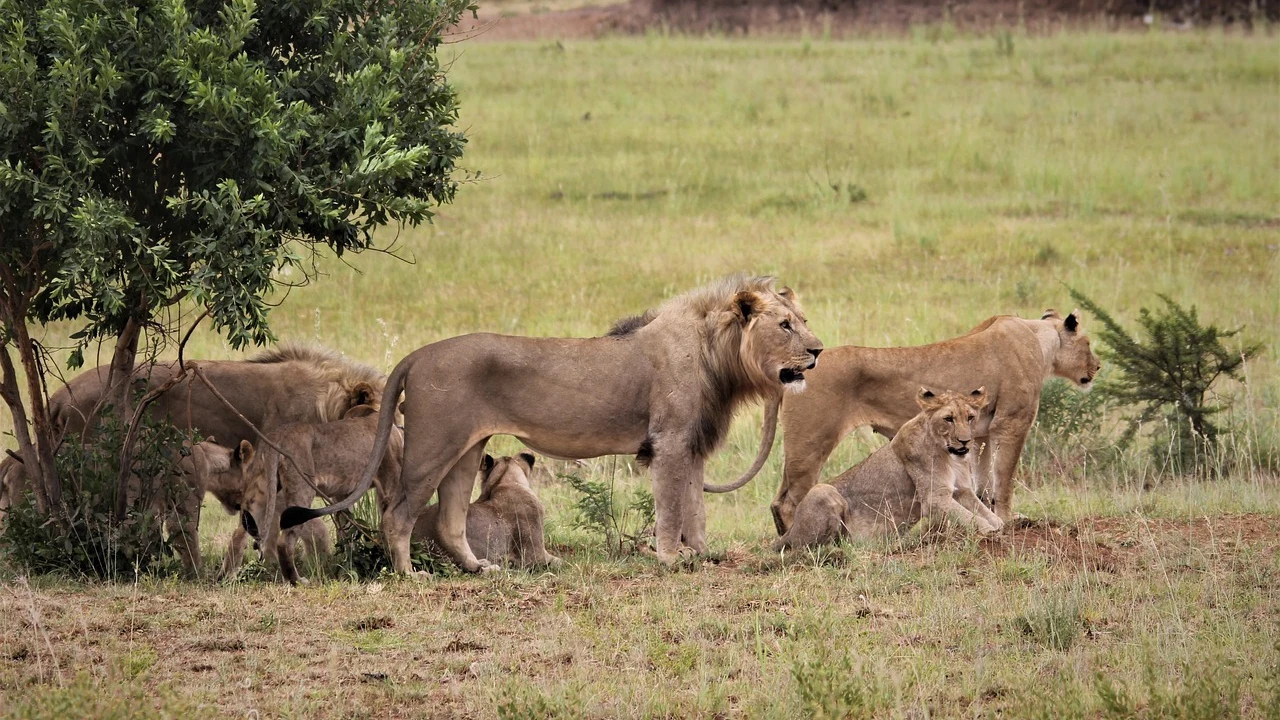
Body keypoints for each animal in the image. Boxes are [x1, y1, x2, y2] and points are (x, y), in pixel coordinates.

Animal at [236, 404, 404, 584]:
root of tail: (277, 436)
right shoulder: (390, 483)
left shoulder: (342, 494)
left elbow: (346, 531)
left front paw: (349, 562)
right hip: (302, 489)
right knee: (284, 541)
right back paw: (296, 581)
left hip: (262, 490)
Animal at [729, 310, 1099, 535]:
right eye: (1089, 343)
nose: (1096, 367)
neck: (1039, 338)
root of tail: (793, 369)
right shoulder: (1012, 422)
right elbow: (1004, 480)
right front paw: (1011, 521)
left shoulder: (980, 434)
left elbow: (982, 486)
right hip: (811, 442)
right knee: (788, 501)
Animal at [774, 388, 1000, 552]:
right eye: (948, 419)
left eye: (970, 417)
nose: (965, 441)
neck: (949, 456)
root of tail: (789, 532)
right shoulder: (934, 498)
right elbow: (969, 517)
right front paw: (989, 531)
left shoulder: (963, 490)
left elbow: (985, 512)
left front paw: (1001, 525)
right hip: (822, 491)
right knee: (814, 547)